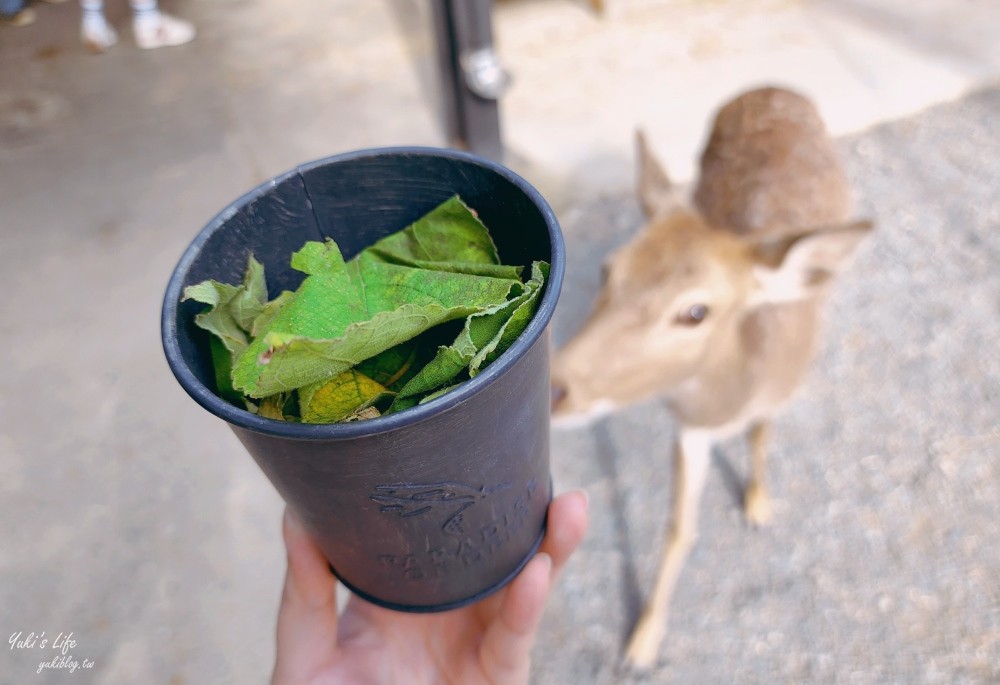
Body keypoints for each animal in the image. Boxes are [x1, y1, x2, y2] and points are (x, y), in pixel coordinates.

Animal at [552, 87, 872, 668]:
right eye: (610, 270)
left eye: (696, 312)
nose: (555, 387)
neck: (729, 397)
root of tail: (773, 87)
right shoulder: (689, 430)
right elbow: (679, 527)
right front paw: (642, 642)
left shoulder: (778, 396)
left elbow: (762, 435)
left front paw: (758, 505)